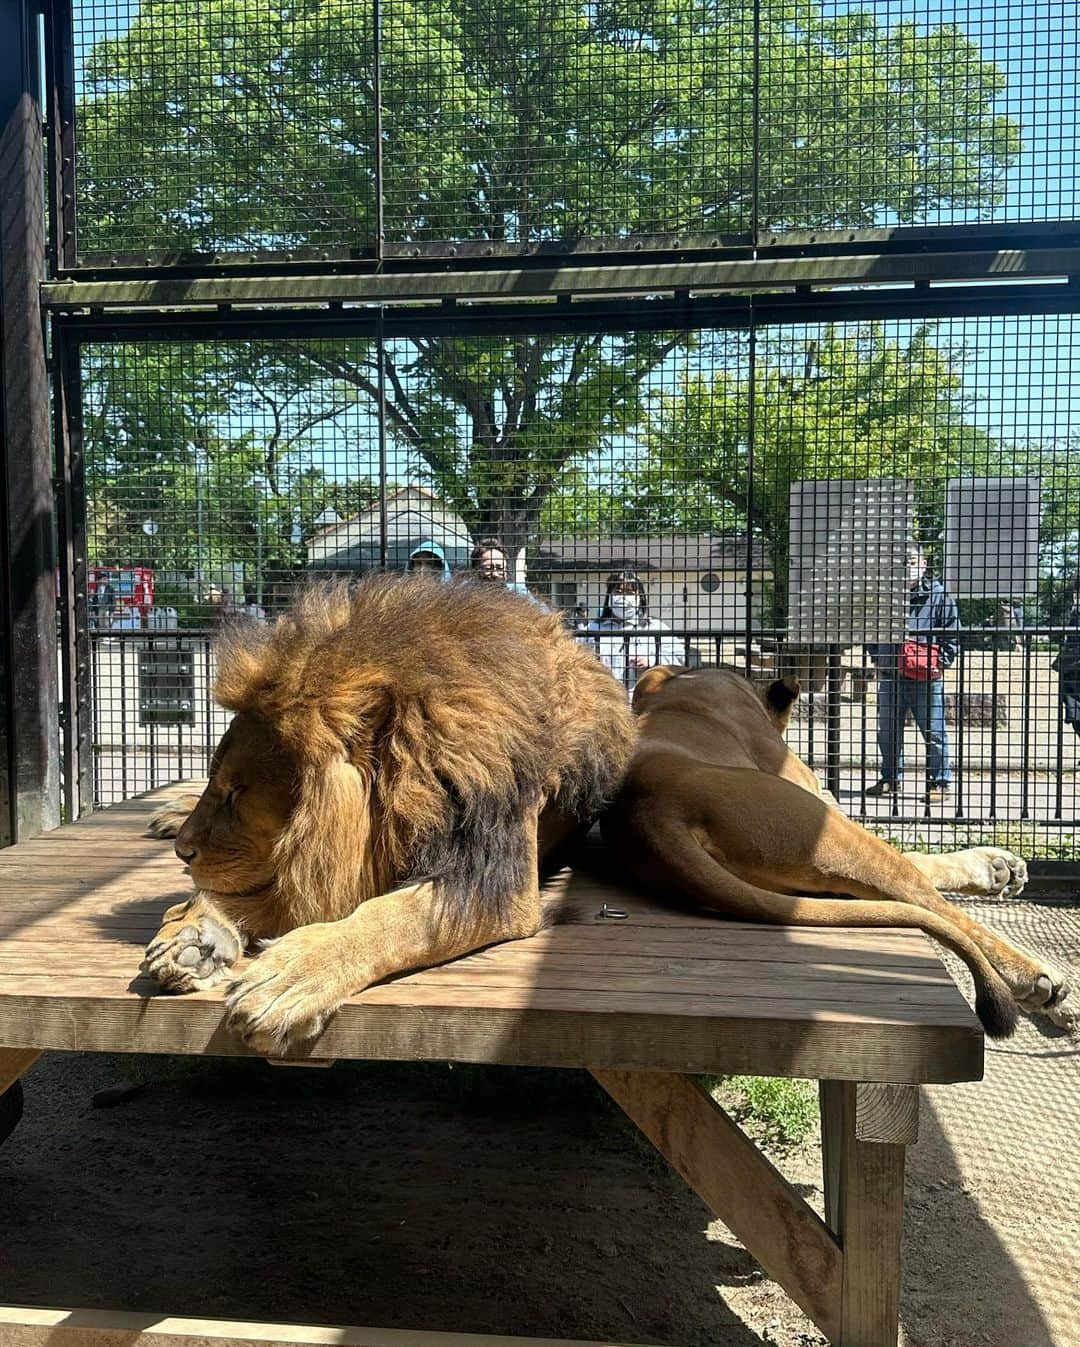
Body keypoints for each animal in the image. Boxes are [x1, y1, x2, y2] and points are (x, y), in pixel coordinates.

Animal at [140, 579, 630, 1050]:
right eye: (218, 782)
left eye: (238, 791)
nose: (183, 852)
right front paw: (194, 932)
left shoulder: (497, 887)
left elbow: (391, 917)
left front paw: (290, 975)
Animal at [597, 668, 1066, 1034]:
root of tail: (647, 812)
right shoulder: (805, 780)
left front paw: (1000, 868)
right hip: (827, 827)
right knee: (924, 895)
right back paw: (1035, 976)